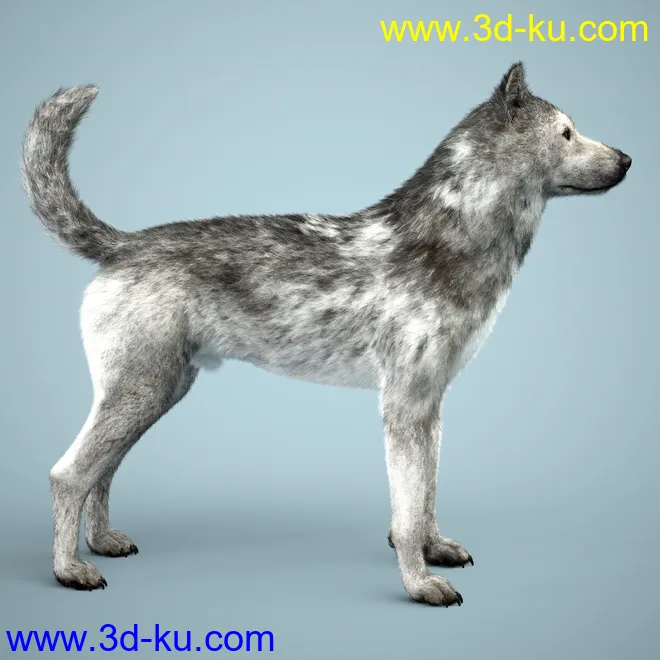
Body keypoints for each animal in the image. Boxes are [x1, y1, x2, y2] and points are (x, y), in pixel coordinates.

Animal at [21, 62, 631, 605]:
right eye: (567, 132)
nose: (628, 158)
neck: (449, 237)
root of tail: (122, 244)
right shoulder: (403, 406)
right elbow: (407, 513)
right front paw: (420, 584)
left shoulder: (431, 405)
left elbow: (427, 496)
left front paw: (434, 549)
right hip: (141, 393)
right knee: (68, 475)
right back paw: (71, 570)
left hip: (155, 393)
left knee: (102, 469)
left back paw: (102, 542)